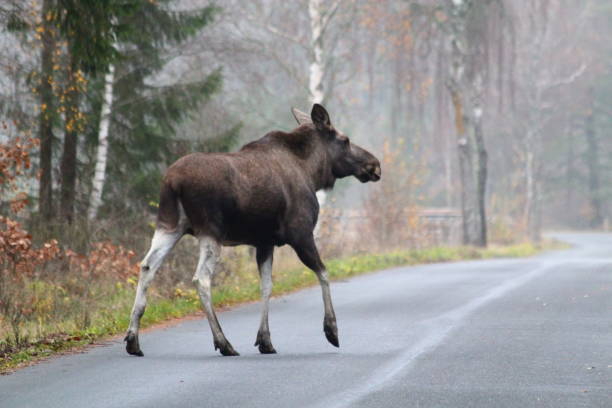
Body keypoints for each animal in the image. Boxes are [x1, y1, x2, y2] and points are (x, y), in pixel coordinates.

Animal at [124, 105, 380, 356]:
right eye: (345, 140)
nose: (374, 165)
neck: (312, 171)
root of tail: (173, 182)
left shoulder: (264, 242)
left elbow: (266, 286)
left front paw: (265, 340)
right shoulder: (301, 233)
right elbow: (324, 273)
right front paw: (331, 330)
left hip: (169, 225)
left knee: (147, 266)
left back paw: (133, 340)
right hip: (210, 230)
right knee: (201, 278)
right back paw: (224, 342)